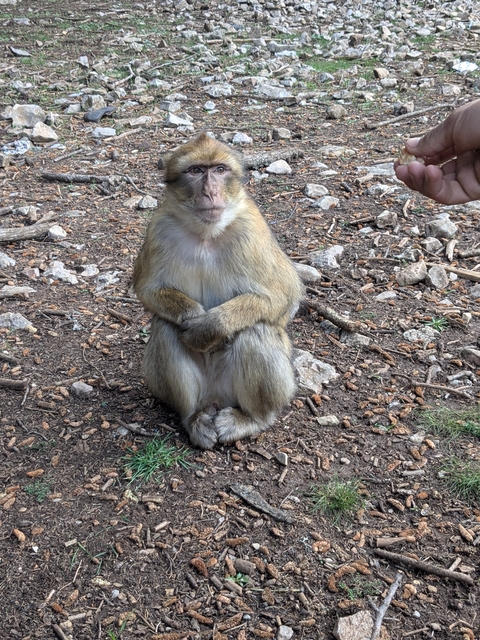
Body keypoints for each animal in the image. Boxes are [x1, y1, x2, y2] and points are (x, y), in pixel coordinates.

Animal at [133, 132, 304, 449]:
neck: (206, 235)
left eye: (220, 170)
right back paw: (193, 417)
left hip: (262, 389)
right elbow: (147, 290)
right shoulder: (158, 228)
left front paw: (210, 327)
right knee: (165, 328)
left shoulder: (253, 230)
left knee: (255, 329)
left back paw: (253, 418)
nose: (210, 192)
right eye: (196, 170)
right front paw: (191, 316)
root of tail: (215, 398)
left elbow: (285, 296)